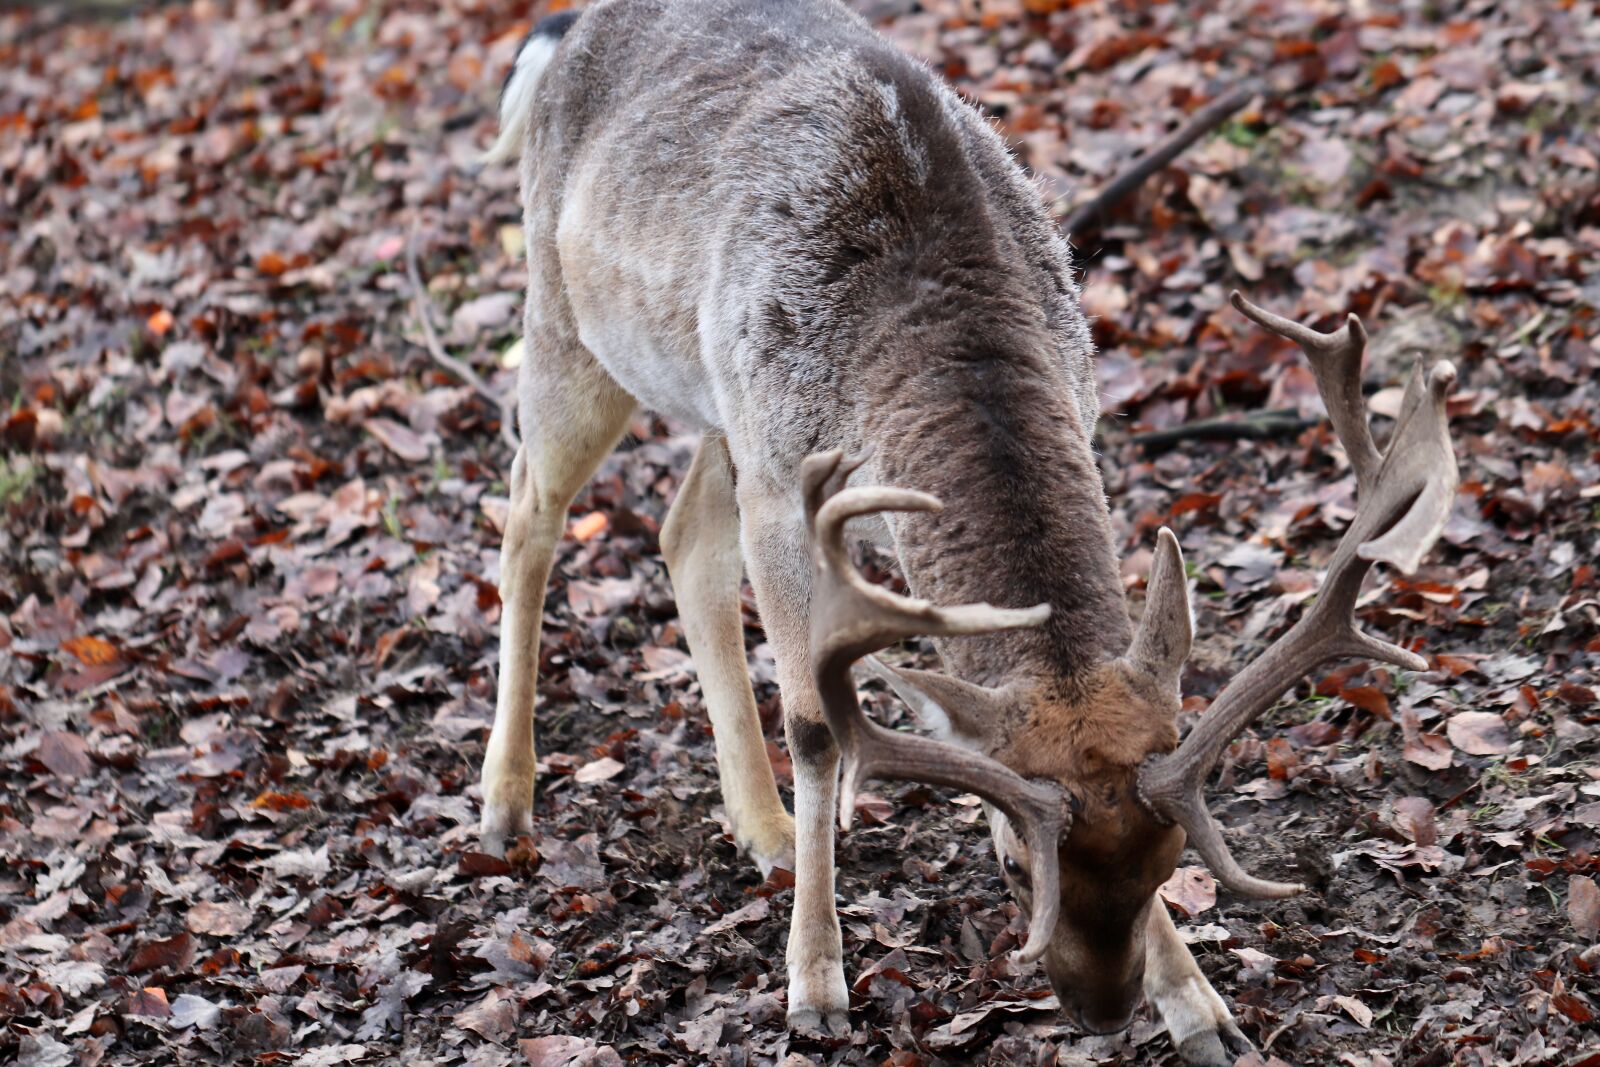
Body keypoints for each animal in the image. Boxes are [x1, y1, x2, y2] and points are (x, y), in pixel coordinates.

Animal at [476, 4, 1465, 1062]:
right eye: (1020, 870)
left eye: (1168, 865)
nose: (1105, 1008)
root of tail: (559, 37)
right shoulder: (781, 483)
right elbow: (819, 724)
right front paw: (814, 987)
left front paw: (1202, 1009)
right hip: (568, 324)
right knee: (528, 511)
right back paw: (505, 803)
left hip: (708, 397)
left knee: (680, 534)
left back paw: (764, 828)